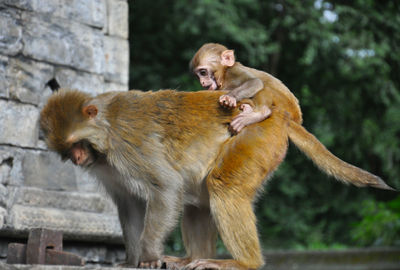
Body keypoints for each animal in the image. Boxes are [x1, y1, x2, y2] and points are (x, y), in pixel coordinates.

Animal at [41, 89, 394, 268]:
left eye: (76, 144)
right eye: (68, 150)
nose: (78, 159)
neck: (105, 132)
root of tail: (279, 115)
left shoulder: (130, 145)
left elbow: (165, 187)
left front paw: (149, 257)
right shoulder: (108, 167)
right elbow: (129, 205)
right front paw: (130, 261)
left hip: (255, 135)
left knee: (222, 187)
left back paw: (242, 262)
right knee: (197, 200)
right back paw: (192, 258)